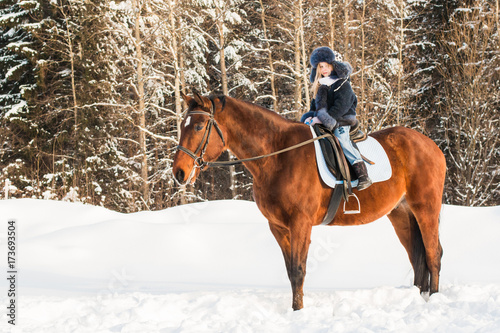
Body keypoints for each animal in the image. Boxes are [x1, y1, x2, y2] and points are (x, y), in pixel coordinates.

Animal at [172, 90, 446, 308]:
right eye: (182, 125)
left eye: (198, 127)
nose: (179, 172)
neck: (278, 156)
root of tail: (432, 146)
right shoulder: (278, 227)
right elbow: (290, 270)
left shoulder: (300, 223)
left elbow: (298, 271)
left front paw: (298, 311)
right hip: (401, 214)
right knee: (417, 257)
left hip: (426, 209)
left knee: (433, 254)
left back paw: (433, 298)